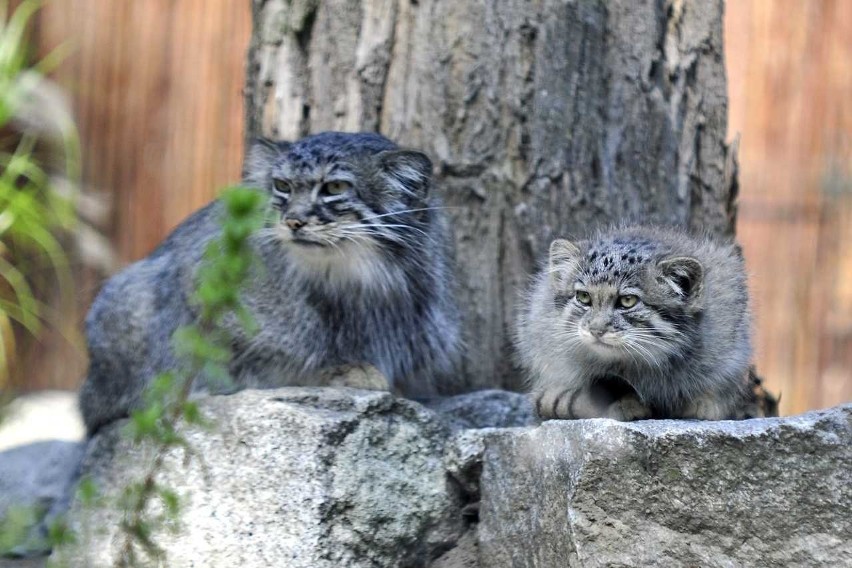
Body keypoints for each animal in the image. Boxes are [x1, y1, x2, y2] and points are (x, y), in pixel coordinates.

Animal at [81, 132, 460, 434]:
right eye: (283, 186)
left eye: (335, 187)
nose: (293, 221)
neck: (353, 279)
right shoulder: (196, 286)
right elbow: (262, 360)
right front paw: (339, 370)